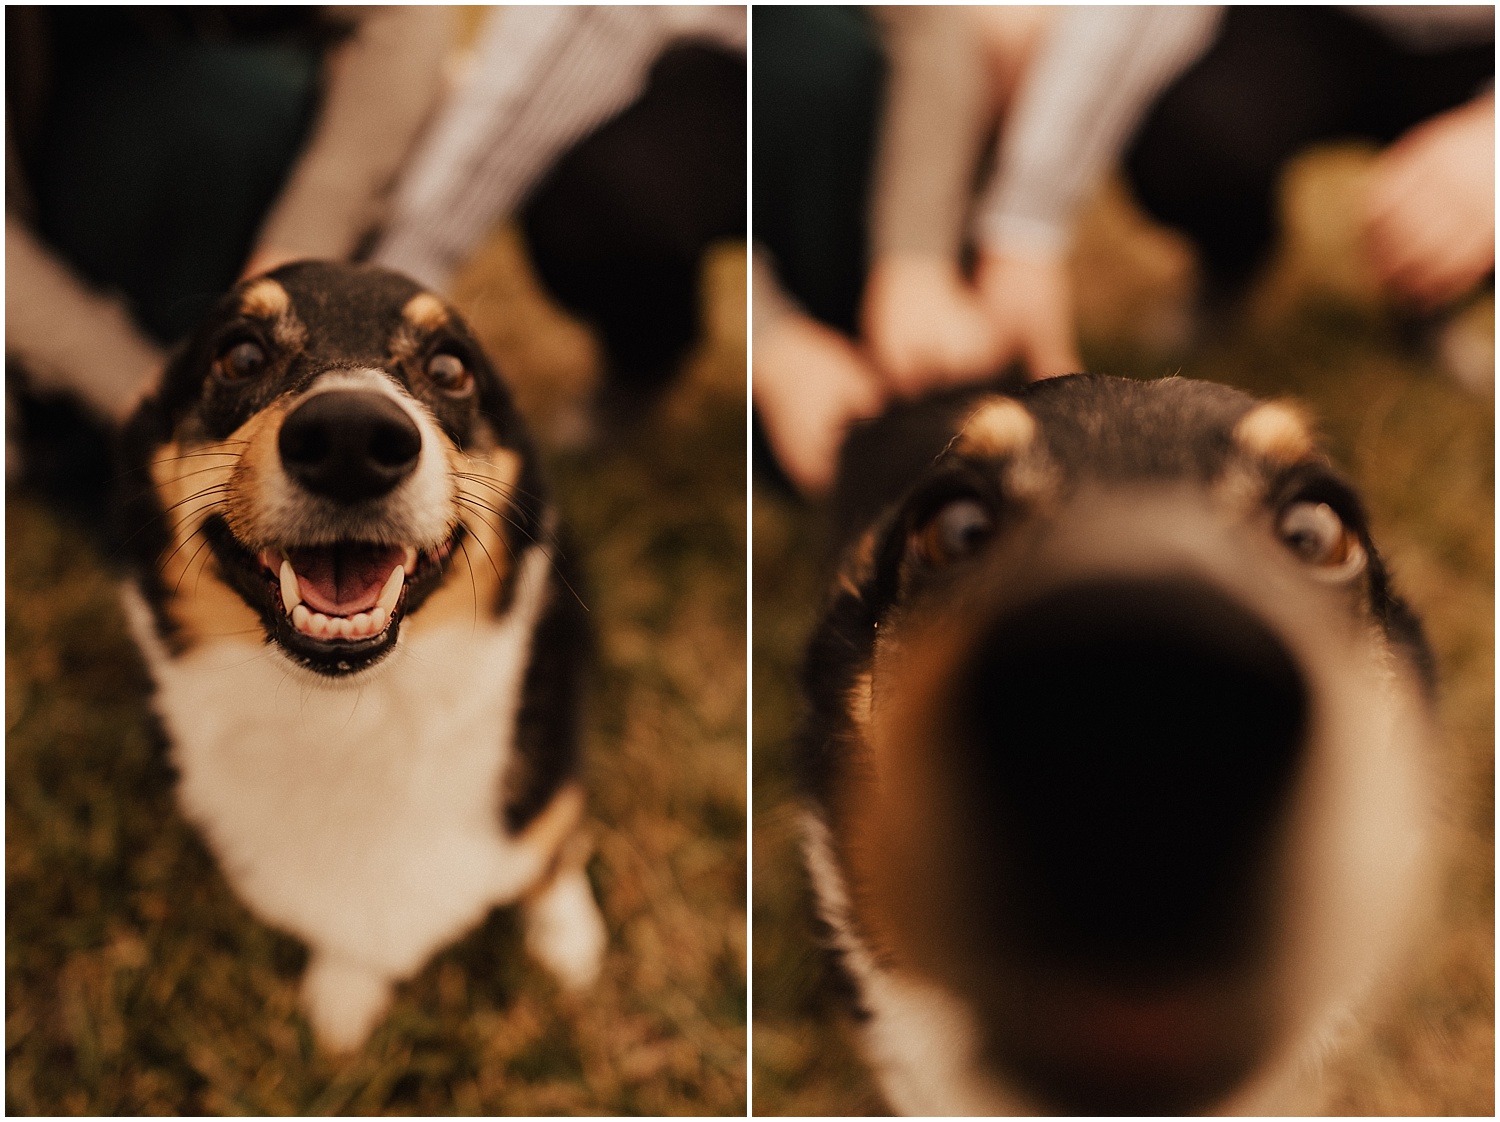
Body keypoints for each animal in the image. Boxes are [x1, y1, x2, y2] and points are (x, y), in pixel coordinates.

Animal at [117, 262, 606, 1050]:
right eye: (240, 356)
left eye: (449, 368)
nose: (350, 437)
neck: (357, 715)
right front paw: (344, 1000)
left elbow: (551, 850)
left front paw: (569, 941)